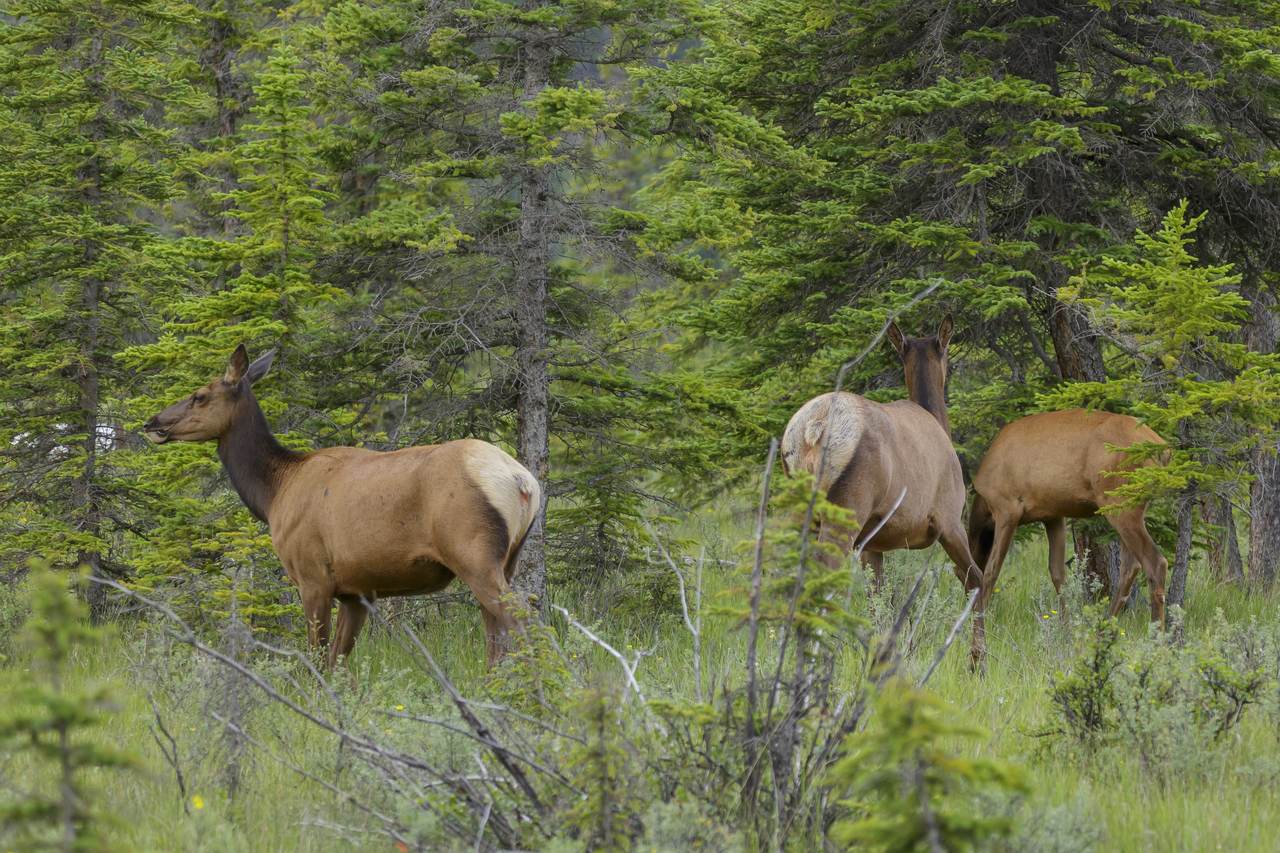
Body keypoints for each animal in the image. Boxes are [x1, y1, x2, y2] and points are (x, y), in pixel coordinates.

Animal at [143, 345, 541, 668]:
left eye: (199, 395)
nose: (152, 422)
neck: (274, 492)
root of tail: (524, 482)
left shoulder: (312, 576)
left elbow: (318, 659)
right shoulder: (356, 591)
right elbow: (339, 660)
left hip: (473, 552)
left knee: (522, 621)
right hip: (507, 559)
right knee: (498, 635)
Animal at [781, 316, 987, 667]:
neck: (937, 419)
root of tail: (812, 430)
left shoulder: (871, 544)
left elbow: (878, 603)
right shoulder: (948, 519)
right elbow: (975, 580)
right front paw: (978, 661)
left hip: (800, 513)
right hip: (845, 511)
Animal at [967, 409, 1169, 625]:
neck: (984, 506)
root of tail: (1163, 451)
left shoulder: (1007, 509)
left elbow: (990, 571)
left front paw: (979, 619)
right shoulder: (1053, 516)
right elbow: (1057, 572)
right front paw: (1066, 625)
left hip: (1120, 504)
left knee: (1155, 562)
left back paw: (1156, 629)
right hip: (1129, 508)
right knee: (1130, 567)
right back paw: (1106, 623)